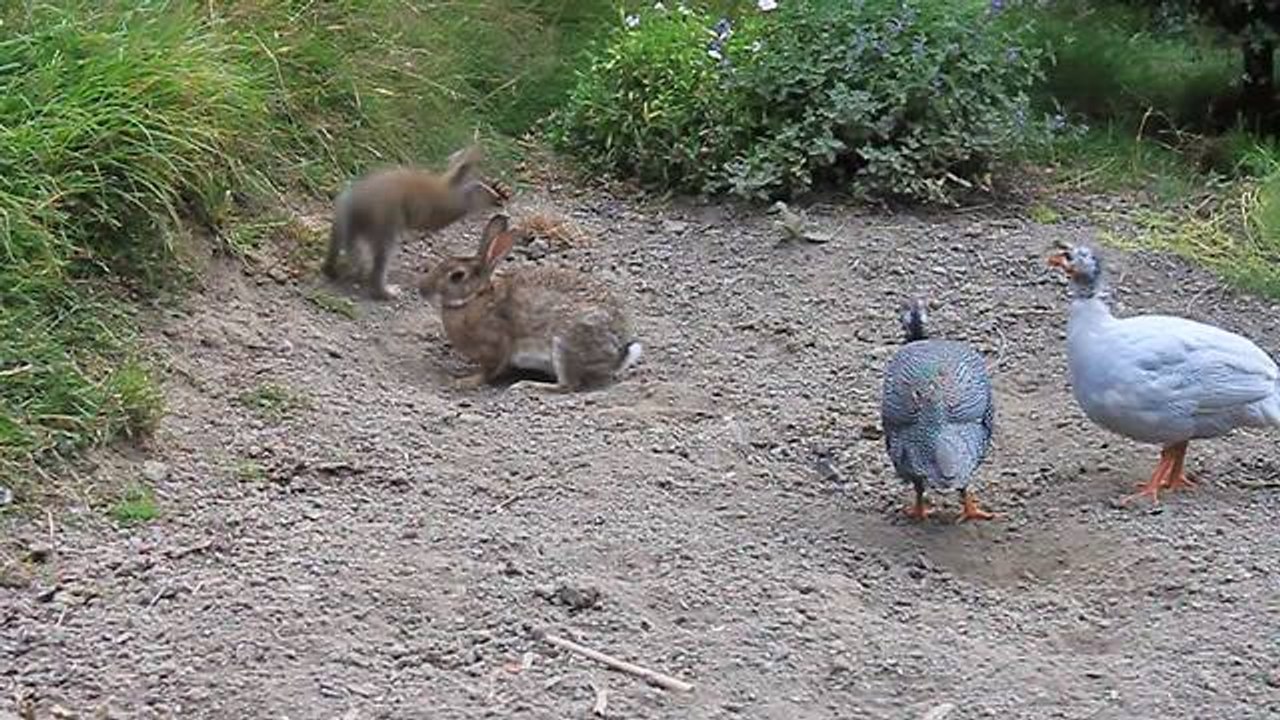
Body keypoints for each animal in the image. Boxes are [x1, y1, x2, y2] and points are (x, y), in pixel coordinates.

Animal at [418, 214, 642, 392]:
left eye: (457, 276)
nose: (423, 290)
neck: (476, 298)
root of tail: (617, 354)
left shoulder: (497, 345)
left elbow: (489, 371)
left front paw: (465, 381)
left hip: (566, 344)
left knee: (568, 386)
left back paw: (526, 385)